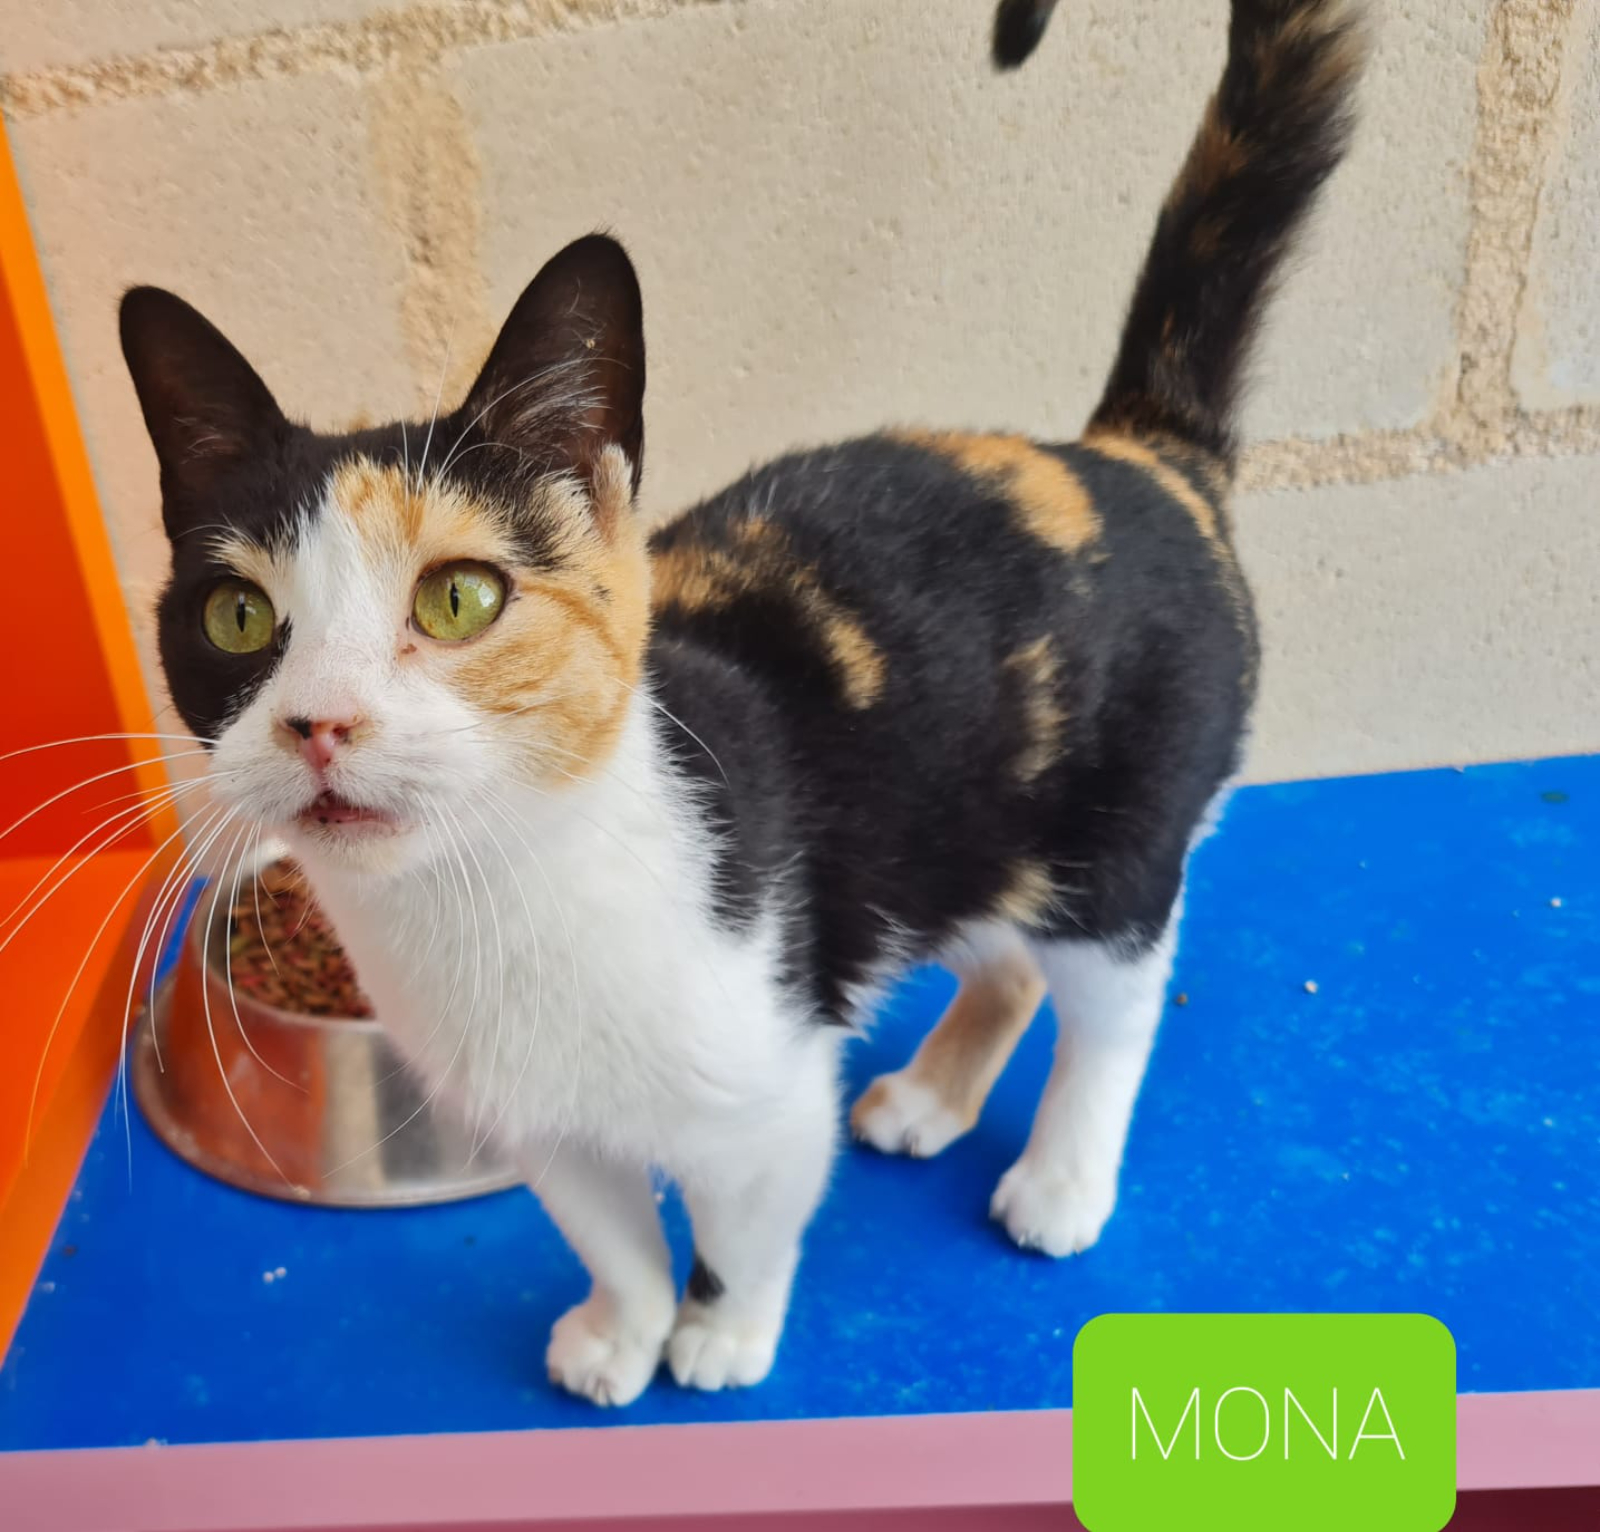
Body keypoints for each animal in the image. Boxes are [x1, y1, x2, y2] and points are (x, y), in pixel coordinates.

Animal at [118, 0, 1365, 1406]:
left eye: (459, 598)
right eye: (236, 616)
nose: (317, 720)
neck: (497, 902)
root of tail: (1132, 452)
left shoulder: (766, 1093)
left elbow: (742, 1219)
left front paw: (718, 1332)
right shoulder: (544, 1126)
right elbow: (610, 1232)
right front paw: (622, 1330)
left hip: (1115, 848)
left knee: (1113, 1002)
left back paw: (1058, 1177)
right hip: (952, 827)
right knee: (1001, 957)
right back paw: (929, 1098)